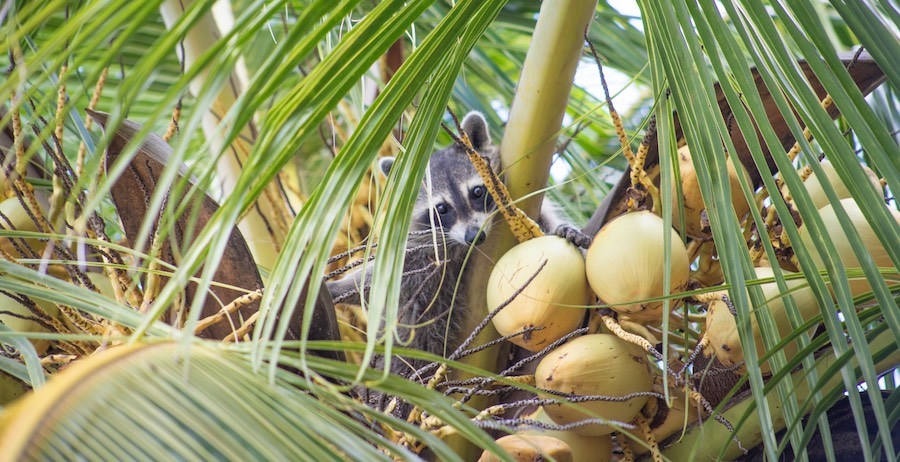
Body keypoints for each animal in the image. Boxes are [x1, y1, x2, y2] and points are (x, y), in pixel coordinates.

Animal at [326, 110, 588, 378]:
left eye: (477, 192)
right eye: (441, 209)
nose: (475, 236)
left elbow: (542, 224)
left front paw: (564, 230)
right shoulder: (422, 247)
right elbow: (390, 280)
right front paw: (342, 287)